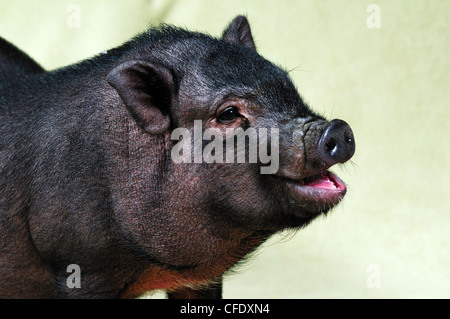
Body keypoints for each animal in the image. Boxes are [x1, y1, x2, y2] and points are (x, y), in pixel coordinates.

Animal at [0, 16, 356, 298]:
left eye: (289, 89)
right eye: (228, 114)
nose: (336, 128)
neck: (151, 268)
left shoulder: (202, 279)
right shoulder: (80, 266)